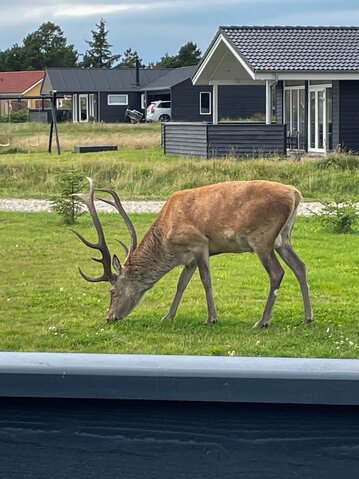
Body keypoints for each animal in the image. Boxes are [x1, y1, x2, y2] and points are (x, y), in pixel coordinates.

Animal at [70, 178, 312, 328]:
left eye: (112, 291)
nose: (109, 317)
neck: (167, 242)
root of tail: (295, 195)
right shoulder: (188, 258)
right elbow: (181, 283)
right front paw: (168, 316)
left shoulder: (199, 244)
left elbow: (206, 280)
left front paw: (212, 318)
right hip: (283, 238)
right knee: (300, 266)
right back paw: (308, 317)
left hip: (261, 238)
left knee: (277, 273)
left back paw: (262, 321)